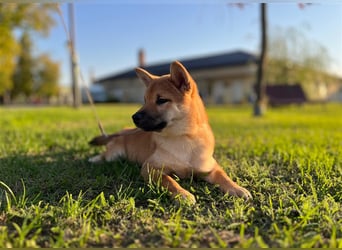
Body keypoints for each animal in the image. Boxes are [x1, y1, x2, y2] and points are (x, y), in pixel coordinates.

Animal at [89, 61, 252, 204]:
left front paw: (237, 188)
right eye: (145, 100)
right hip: (114, 155)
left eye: (161, 100)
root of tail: (123, 131)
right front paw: (182, 194)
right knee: (105, 155)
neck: (184, 137)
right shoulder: (150, 167)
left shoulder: (211, 167)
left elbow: (224, 177)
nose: (134, 117)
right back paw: (94, 159)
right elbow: (169, 180)